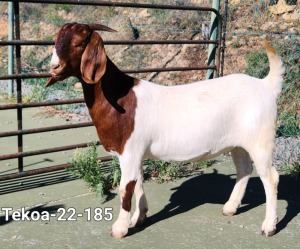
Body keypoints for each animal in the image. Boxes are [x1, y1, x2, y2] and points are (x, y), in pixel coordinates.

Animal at [46, 22, 284, 237]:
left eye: (80, 43)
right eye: (55, 40)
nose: (54, 67)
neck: (120, 97)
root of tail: (266, 85)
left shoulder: (129, 151)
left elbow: (126, 188)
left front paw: (119, 229)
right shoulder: (137, 153)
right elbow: (138, 183)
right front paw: (139, 218)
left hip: (261, 140)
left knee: (270, 178)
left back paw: (268, 227)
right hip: (239, 143)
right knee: (244, 169)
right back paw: (230, 208)